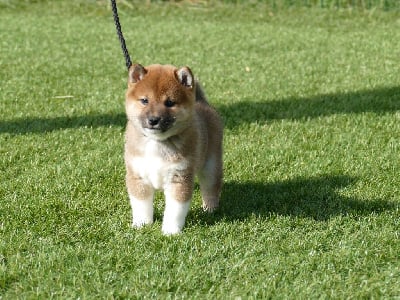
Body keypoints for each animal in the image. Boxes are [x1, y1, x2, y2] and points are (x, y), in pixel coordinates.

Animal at [125, 63, 223, 234]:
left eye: (169, 103)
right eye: (144, 100)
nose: (153, 120)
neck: (157, 142)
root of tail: (202, 103)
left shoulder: (179, 177)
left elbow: (175, 210)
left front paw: (170, 231)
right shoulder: (137, 176)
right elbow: (140, 205)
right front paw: (141, 225)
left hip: (211, 165)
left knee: (211, 188)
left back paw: (210, 210)